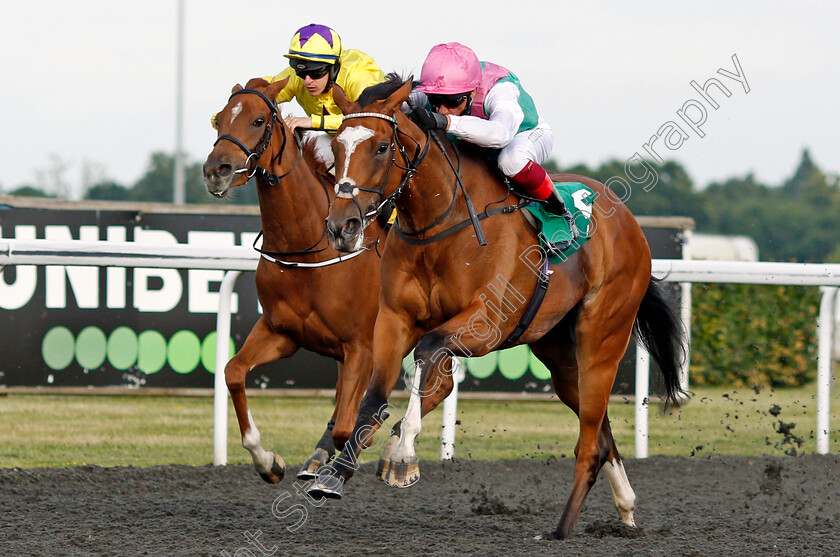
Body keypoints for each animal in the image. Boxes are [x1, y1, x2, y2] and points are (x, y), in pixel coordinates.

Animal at [203, 77, 390, 482]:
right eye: (219, 119)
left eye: (258, 120)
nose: (215, 170)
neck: (307, 247)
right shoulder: (281, 332)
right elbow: (233, 371)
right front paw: (267, 460)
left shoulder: (362, 346)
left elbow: (348, 426)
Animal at [318, 75, 684, 540]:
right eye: (336, 145)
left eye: (382, 147)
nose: (341, 226)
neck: (441, 225)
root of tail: (629, 223)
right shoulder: (394, 320)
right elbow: (377, 396)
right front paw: (336, 473)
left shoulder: (484, 324)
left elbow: (428, 351)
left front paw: (402, 457)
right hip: (558, 352)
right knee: (598, 432)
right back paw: (626, 507)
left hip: (602, 339)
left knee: (589, 440)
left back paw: (559, 529)